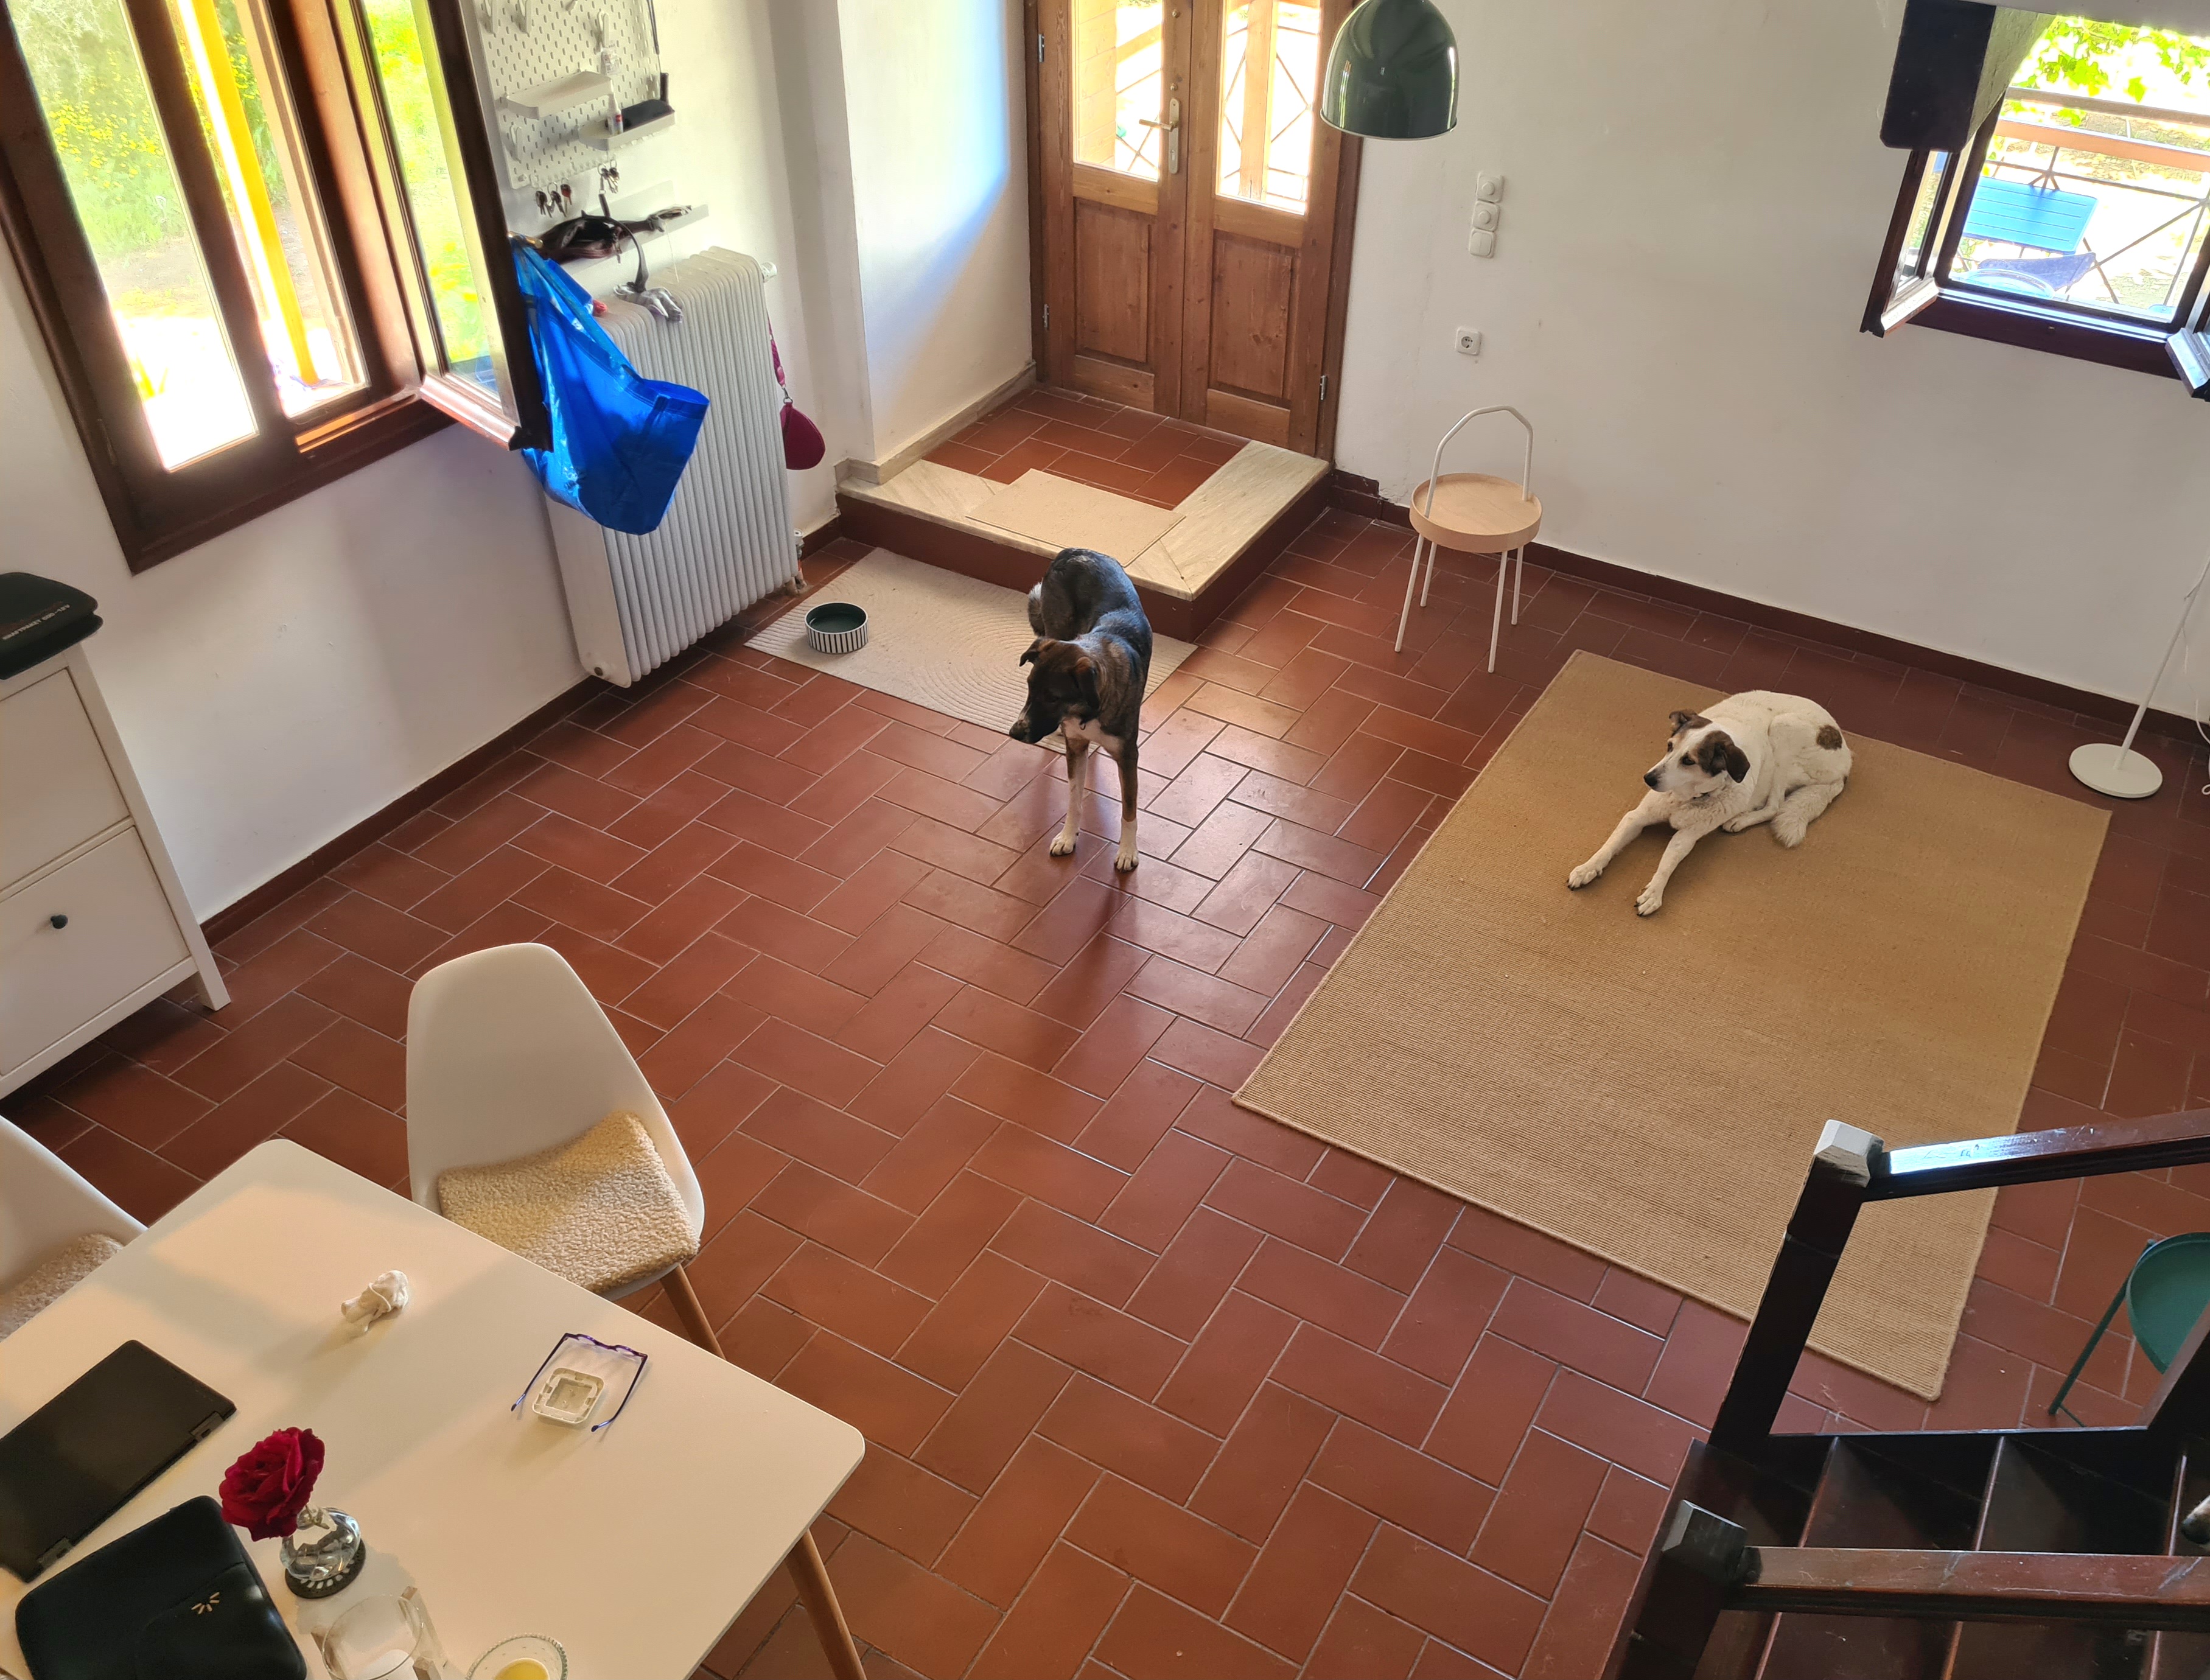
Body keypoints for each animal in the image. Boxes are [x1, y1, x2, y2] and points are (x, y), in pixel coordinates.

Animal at [1007, 548, 1152, 873]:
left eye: (1052, 697)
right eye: (1029, 687)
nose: (1015, 733)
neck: (1087, 712)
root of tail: (1072, 553)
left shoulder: (1128, 756)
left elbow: (1129, 809)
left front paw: (1127, 852)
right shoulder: (1075, 748)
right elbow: (1074, 797)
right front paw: (1068, 837)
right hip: (1056, 622)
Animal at [1566, 691, 1852, 916]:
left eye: (1689, 761)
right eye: (1669, 746)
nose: (1648, 778)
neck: (1686, 798)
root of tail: (1846, 763)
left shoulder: (1687, 836)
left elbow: (1667, 863)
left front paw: (1655, 893)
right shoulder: (1636, 818)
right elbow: (1609, 846)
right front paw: (1588, 868)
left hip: (1784, 730)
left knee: (1774, 807)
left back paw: (1739, 820)